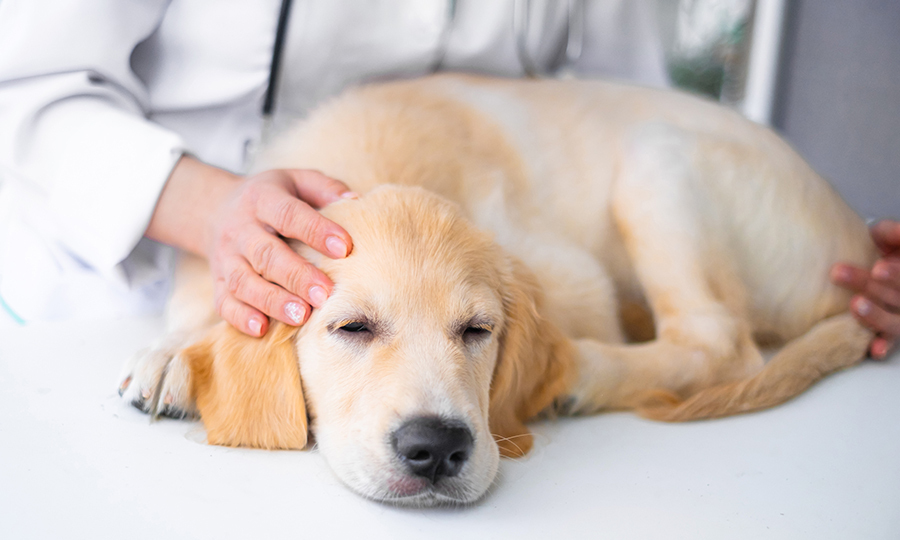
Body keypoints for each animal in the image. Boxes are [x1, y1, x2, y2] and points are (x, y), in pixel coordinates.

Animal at [116, 75, 876, 506]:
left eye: (477, 331)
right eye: (352, 328)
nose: (436, 448)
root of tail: (861, 241)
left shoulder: (575, 276)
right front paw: (176, 352)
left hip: (656, 153)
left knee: (719, 340)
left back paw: (584, 373)